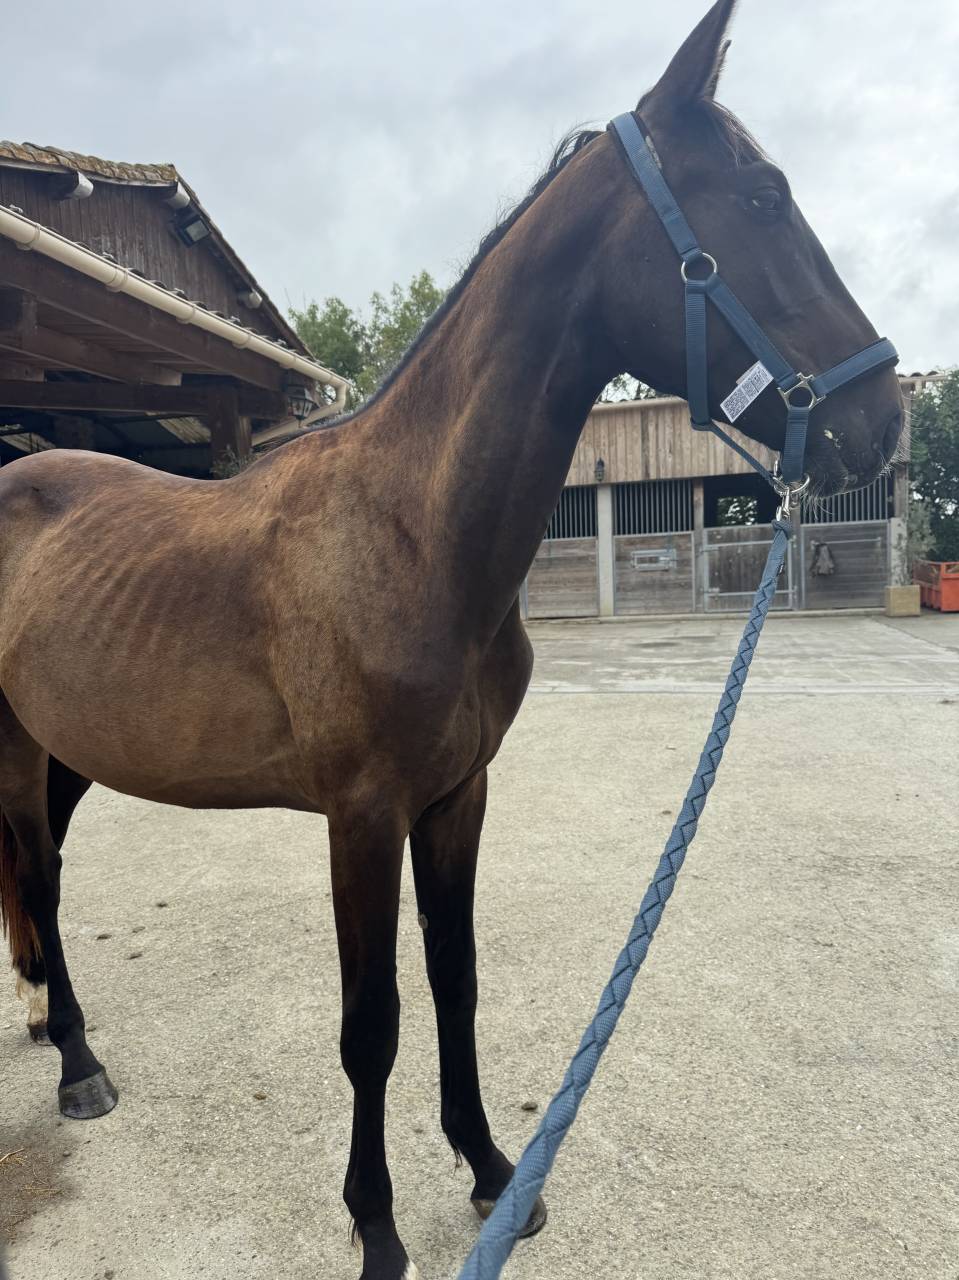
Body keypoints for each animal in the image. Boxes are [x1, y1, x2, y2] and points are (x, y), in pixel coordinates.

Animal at [0, 2, 903, 1277]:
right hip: (21, 747)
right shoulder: (361, 814)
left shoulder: (457, 793)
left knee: (46, 876)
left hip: (73, 748)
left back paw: (53, 1026)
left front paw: (488, 1171)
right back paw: (79, 1062)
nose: (885, 416)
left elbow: (455, 980)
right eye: (764, 196)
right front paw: (376, 1226)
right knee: (35, 868)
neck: (413, 531)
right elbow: (369, 1023)